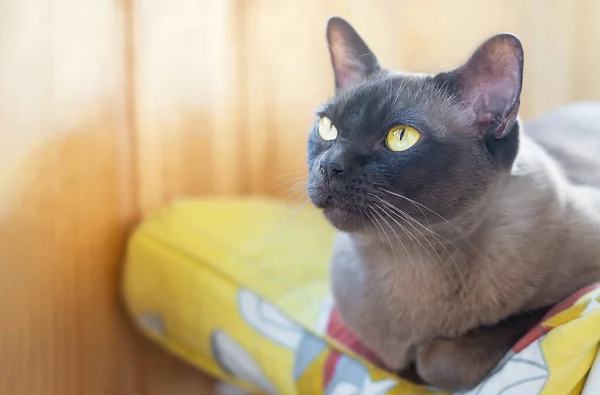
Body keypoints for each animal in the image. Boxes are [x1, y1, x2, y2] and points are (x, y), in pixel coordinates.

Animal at [308, 16, 600, 392]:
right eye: (327, 127)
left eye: (400, 138)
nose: (330, 165)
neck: (407, 259)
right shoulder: (366, 344)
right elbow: (388, 363)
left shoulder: (577, 290)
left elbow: (441, 361)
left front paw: (423, 360)